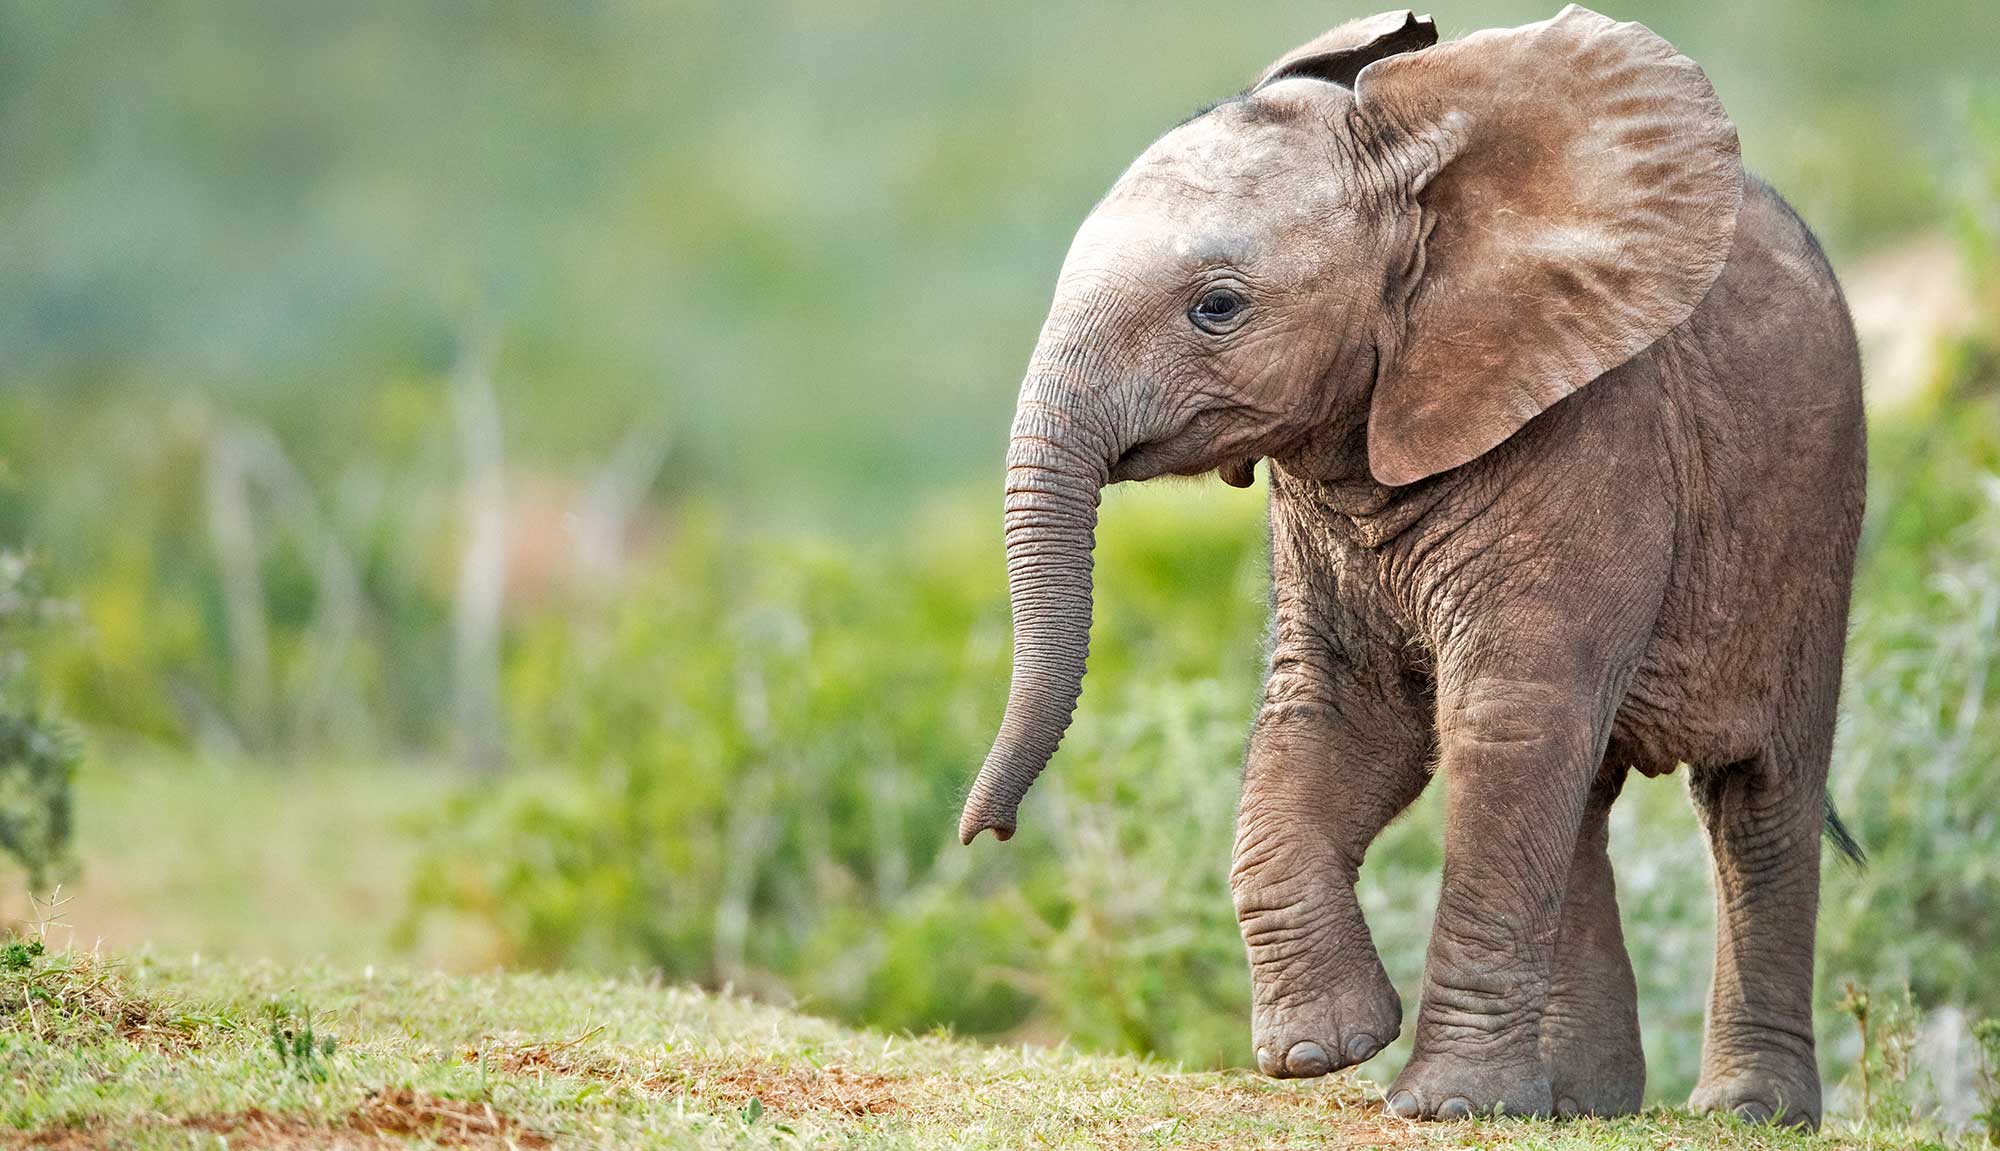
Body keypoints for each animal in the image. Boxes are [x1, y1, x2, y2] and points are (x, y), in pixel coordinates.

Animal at [960, 4, 1864, 1127]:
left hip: (1813, 523)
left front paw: (1440, 1103)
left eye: (1217, 307)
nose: (985, 835)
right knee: (1586, 787)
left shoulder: (1589, 428)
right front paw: (1324, 1050)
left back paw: (1743, 1111)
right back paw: (1580, 1103)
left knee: (1755, 798)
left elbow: (1504, 718)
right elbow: (1343, 714)